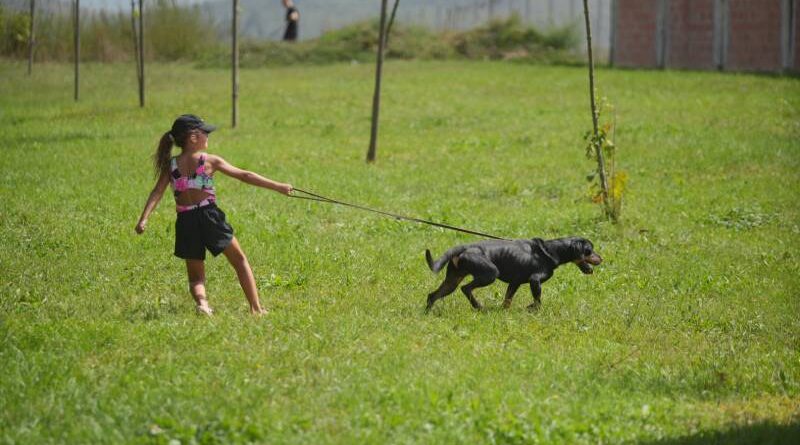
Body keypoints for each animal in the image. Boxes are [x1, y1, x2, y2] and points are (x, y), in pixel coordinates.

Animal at [424, 236, 600, 312]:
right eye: (589, 251)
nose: (601, 258)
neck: (550, 251)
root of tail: (464, 247)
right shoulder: (535, 280)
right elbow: (537, 300)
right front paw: (534, 309)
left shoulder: (514, 283)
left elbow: (507, 301)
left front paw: (503, 312)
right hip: (490, 274)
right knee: (466, 288)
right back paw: (478, 306)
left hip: (452, 281)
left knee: (432, 295)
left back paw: (427, 313)